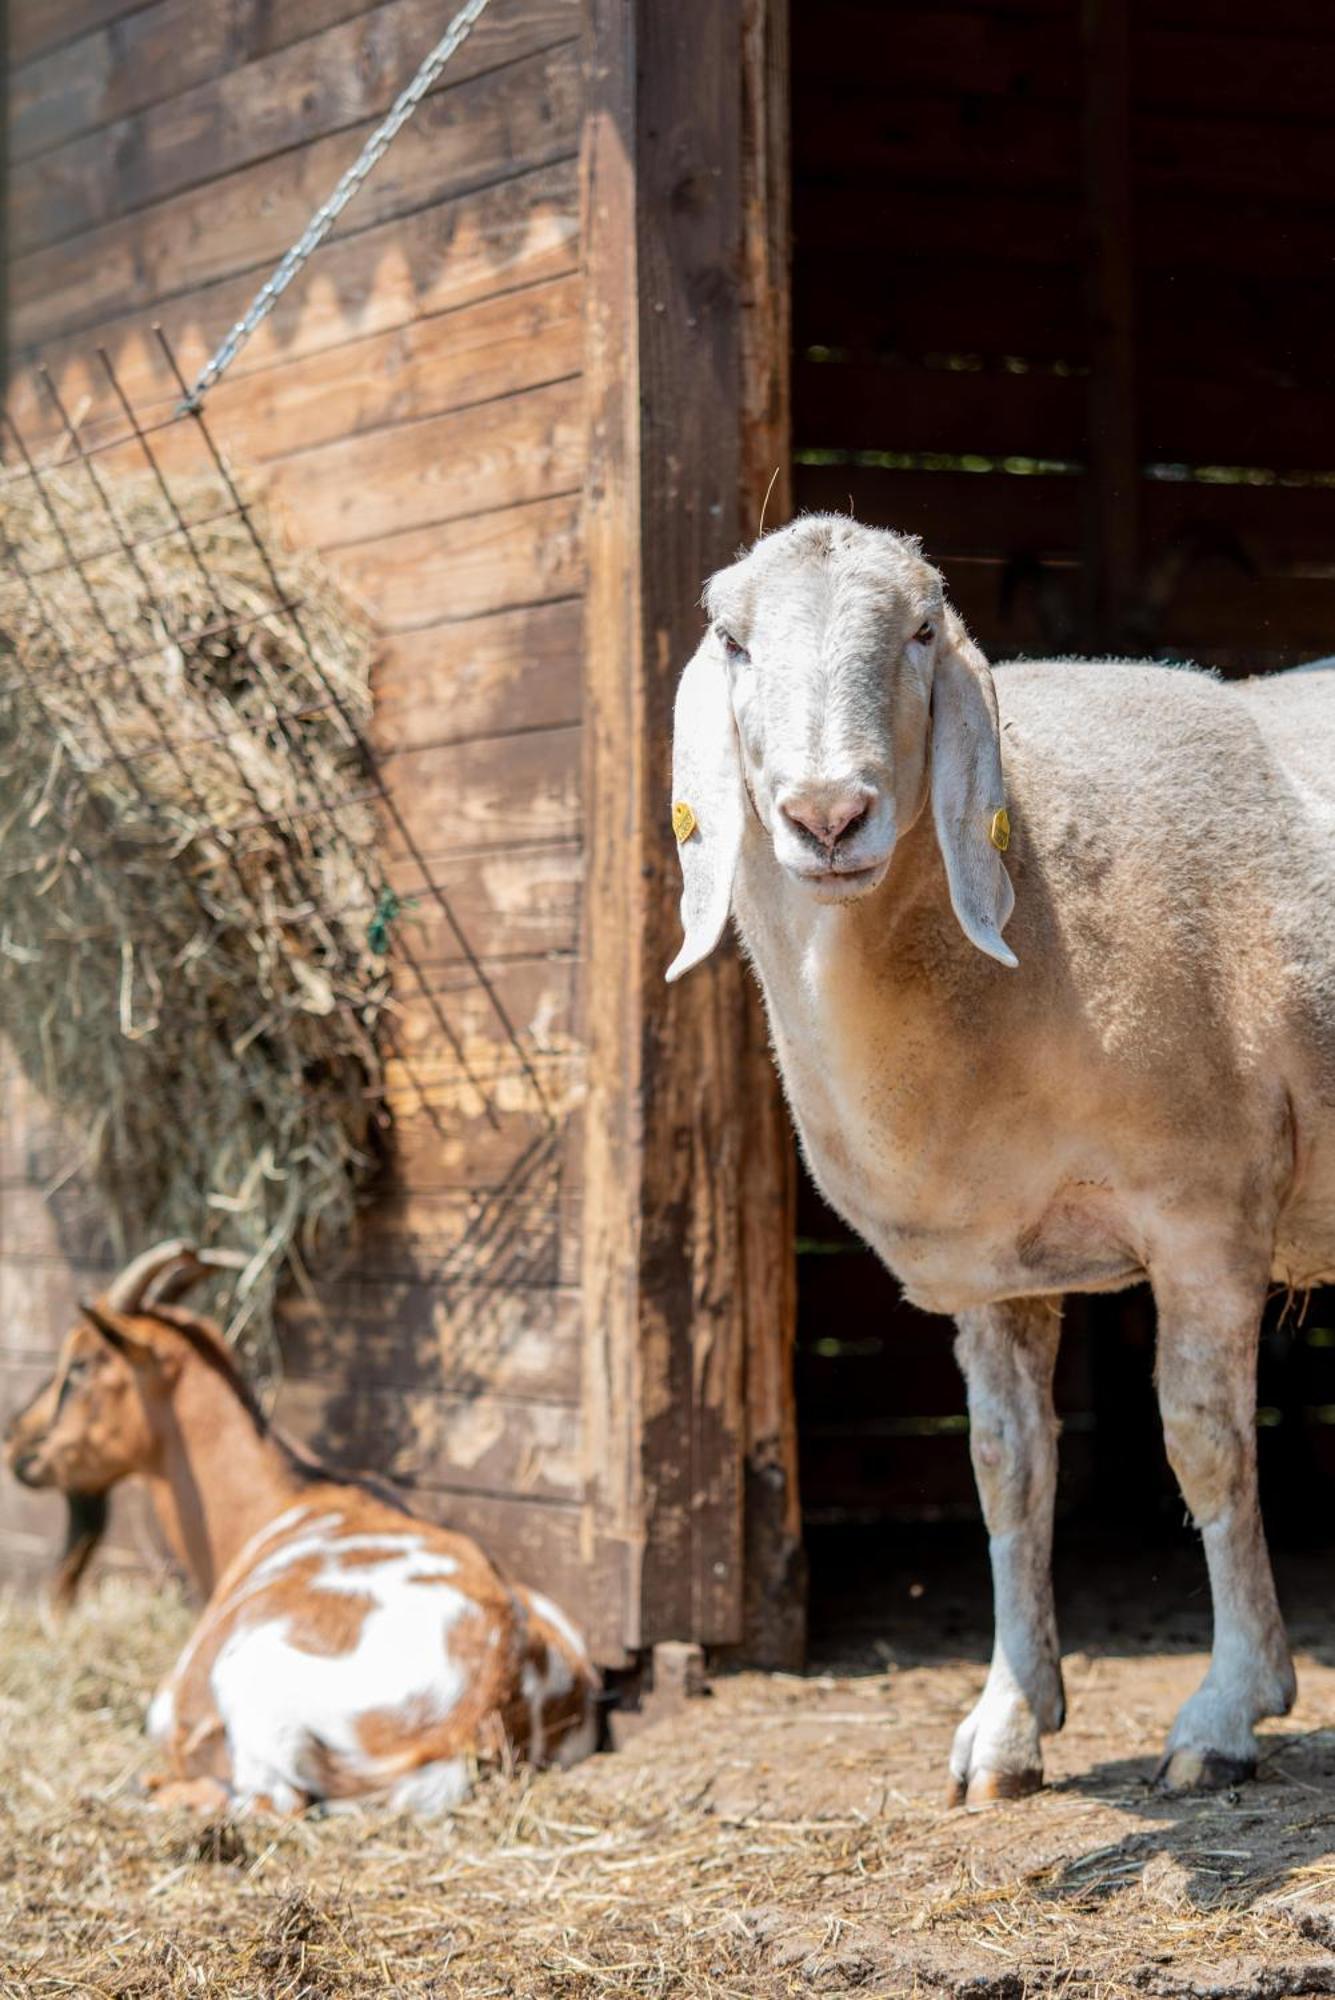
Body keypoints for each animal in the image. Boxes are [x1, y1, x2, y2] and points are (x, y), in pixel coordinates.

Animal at [3, 1232, 599, 1816]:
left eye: (79, 1364)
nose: (17, 1443)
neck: (279, 1499)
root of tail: (482, 1709)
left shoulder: (177, 1701)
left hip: (252, 1682)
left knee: (272, 1798)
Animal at [671, 520, 1335, 1816]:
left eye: (924, 628)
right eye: (731, 637)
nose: (829, 815)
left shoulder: (1207, 1214)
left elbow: (1207, 1445)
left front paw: (1232, 1706)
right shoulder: (994, 1259)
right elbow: (1007, 1471)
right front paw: (1011, 1719)